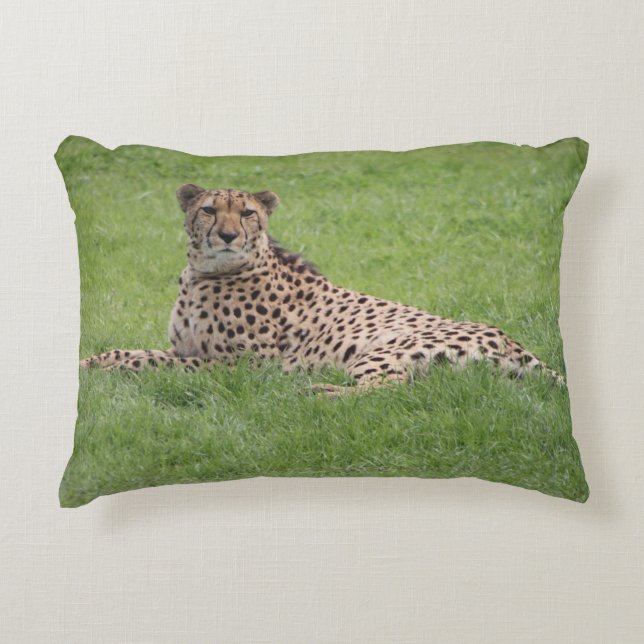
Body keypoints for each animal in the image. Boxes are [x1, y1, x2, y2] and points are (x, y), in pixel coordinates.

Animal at [81, 184, 564, 394]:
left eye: (248, 213)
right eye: (209, 210)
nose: (228, 236)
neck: (207, 273)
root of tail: (514, 342)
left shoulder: (243, 367)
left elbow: (155, 364)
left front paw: (109, 372)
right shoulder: (186, 348)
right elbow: (132, 352)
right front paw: (90, 363)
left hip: (385, 349)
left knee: (390, 390)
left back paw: (319, 395)